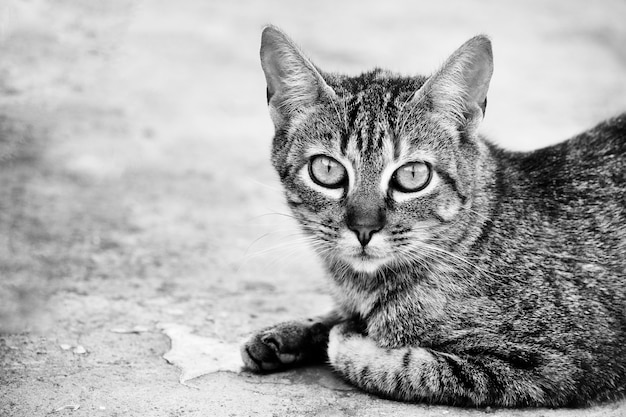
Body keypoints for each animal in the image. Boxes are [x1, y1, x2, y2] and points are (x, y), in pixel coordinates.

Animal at [240, 26, 624, 406]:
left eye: (413, 175)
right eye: (327, 170)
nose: (363, 228)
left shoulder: (551, 364)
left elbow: (409, 367)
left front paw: (346, 336)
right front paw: (292, 333)